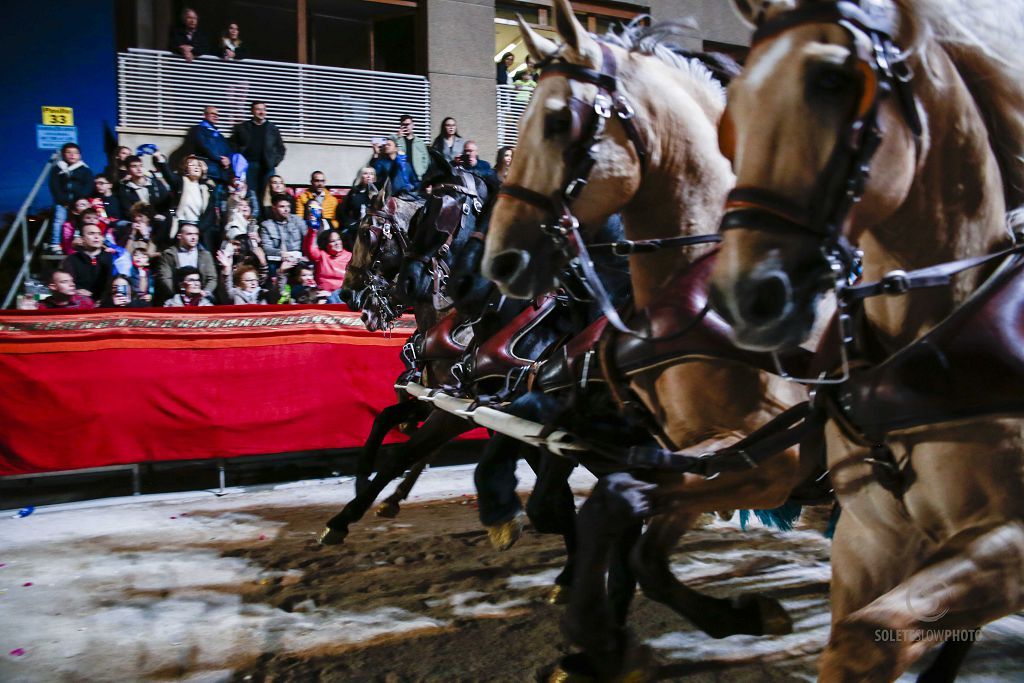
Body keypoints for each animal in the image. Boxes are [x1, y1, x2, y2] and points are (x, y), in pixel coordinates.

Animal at [483, 1, 819, 679]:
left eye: (557, 120)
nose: (499, 262)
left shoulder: (773, 455)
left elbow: (613, 510)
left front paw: (594, 633)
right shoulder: (691, 456)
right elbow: (641, 550)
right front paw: (735, 616)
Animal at [708, 0, 1024, 679]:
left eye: (832, 80)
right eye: (737, 99)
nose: (743, 296)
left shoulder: (1008, 539)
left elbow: (867, 637)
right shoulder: (869, 540)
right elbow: (857, 634)